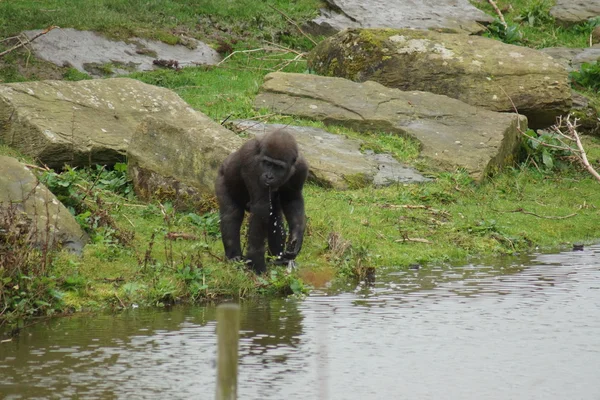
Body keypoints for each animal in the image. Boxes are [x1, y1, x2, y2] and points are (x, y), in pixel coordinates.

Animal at [216, 130, 310, 274]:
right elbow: (261, 209)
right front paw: (256, 262)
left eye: (278, 167)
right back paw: (234, 257)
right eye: (267, 163)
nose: (268, 176)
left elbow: (292, 199)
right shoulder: (252, 163)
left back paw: (279, 259)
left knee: (274, 217)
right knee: (231, 215)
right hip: (222, 179)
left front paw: (296, 238)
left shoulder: (301, 167)